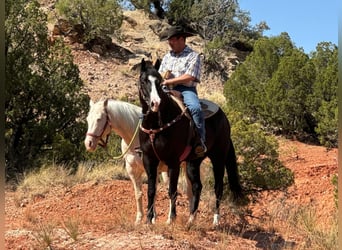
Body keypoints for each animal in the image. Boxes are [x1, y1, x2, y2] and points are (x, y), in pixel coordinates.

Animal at [138, 59, 242, 227]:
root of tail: (224, 117)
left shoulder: (173, 162)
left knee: (218, 187)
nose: (155, 103)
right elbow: (151, 190)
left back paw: (216, 220)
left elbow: (172, 190)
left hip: (218, 158)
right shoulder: (149, 159)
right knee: (197, 186)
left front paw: (171, 219)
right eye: (143, 81)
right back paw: (191, 219)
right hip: (194, 162)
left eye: (159, 81)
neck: (156, 125)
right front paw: (149, 220)